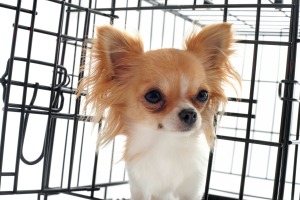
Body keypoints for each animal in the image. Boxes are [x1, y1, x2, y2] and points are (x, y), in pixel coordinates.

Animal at [78, 23, 241, 200]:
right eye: (153, 96)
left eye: (203, 95)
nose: (190, 113)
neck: (166, 143)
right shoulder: (139, 187)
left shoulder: (192, 188)